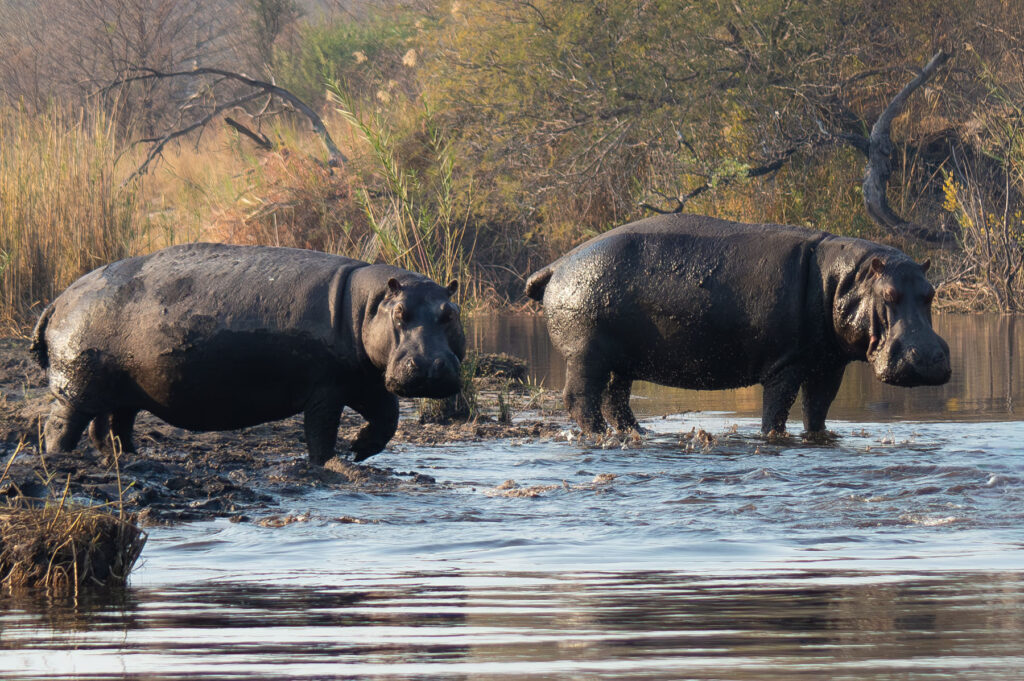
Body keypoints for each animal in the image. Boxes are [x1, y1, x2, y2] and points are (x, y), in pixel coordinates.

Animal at [31, 243, 465, 464]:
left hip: (124, 388)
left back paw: (129, 457)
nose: (431, 367)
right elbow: (321, 430)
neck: (366, 304)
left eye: (450, 313)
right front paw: (330, 464)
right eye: (400, 312)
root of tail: (57, 300)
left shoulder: (365, 380)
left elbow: (387, 418)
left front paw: (359, 450)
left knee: (109, 427)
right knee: (61, 425)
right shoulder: (327, 388)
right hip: (77, 386)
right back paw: (59, 459)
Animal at [525, 213, 950, 436]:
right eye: (889, 294)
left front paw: (819, 436)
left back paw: (640, 434)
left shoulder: (829, 364)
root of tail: (557, 264)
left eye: (931, 292)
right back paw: (599, 435)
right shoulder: (786, 363)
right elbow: (776, 409)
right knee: (580, 399)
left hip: (622, 359)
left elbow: (818, 409)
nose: (929, 358)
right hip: (586, 354)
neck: (844, 280)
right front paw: (772, 437)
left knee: (616, 400)